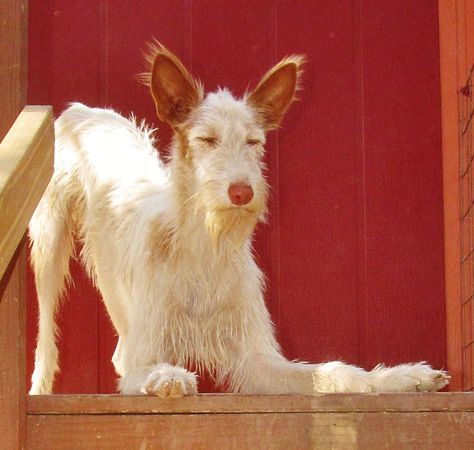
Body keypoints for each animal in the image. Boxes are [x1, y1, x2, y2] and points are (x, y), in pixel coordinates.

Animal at [28, 43, 448, 398]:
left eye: (254, 142)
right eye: (206, 139)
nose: (242, 192)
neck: (205, 249)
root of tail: (84, 110)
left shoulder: (258, 361)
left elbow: (333, 371)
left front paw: (402, 377)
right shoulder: (142, 355)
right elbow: (143, 370)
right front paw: (168, 378)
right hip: (48, 247)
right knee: (46, 336)